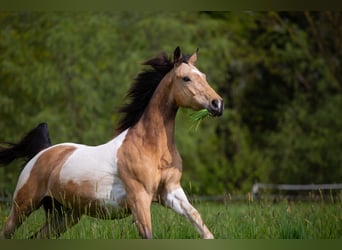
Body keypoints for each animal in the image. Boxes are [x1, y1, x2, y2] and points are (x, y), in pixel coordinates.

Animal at [0, 46, 223, 239]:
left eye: (204, 76)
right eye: (186, 78)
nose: (217, 104)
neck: (150, 147)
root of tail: (42, 152)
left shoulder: (171, 192)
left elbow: (199, 223)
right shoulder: (139, 198)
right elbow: (148, 234)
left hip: (66, 215)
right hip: (23, 205)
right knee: (7, 231)